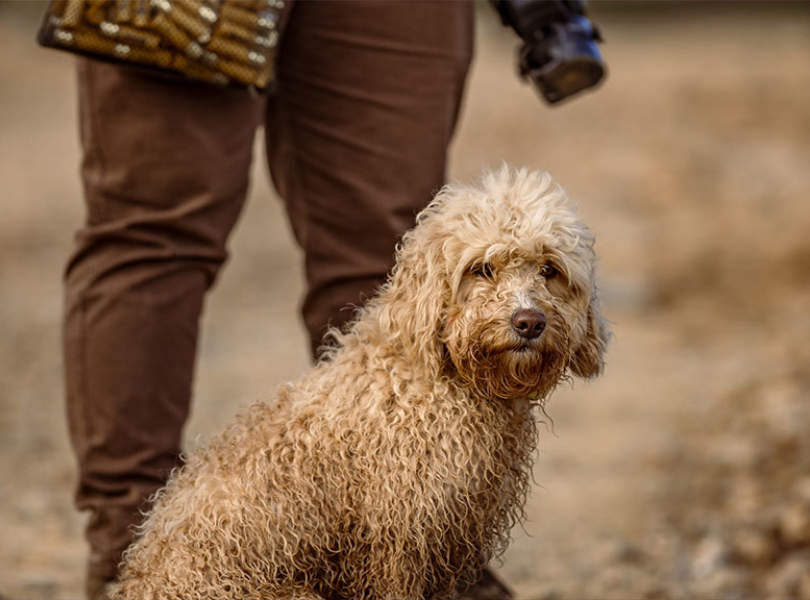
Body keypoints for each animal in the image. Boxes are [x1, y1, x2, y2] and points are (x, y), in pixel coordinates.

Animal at [112, 166, 608, 600]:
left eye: (549, 269)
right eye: (482, 268)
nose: (529, 322)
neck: (437, 381)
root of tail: (138, 581)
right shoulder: (400, 538)